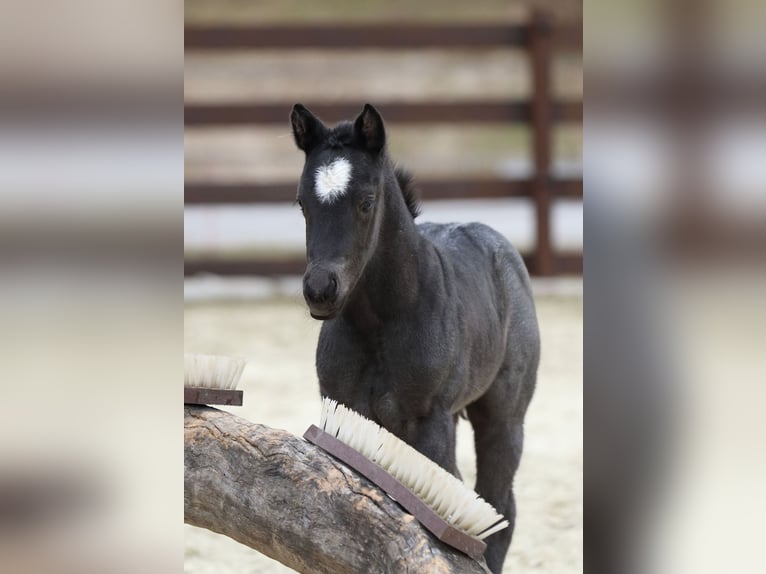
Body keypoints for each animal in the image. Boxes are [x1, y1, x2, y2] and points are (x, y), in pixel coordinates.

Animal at [292, 104, 540, 574]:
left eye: (366, 201)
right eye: (301, 203)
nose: (320, 289)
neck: (381, 322)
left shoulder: (430, 422)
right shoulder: (345, 413)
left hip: (504, 419)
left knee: (500, 507)